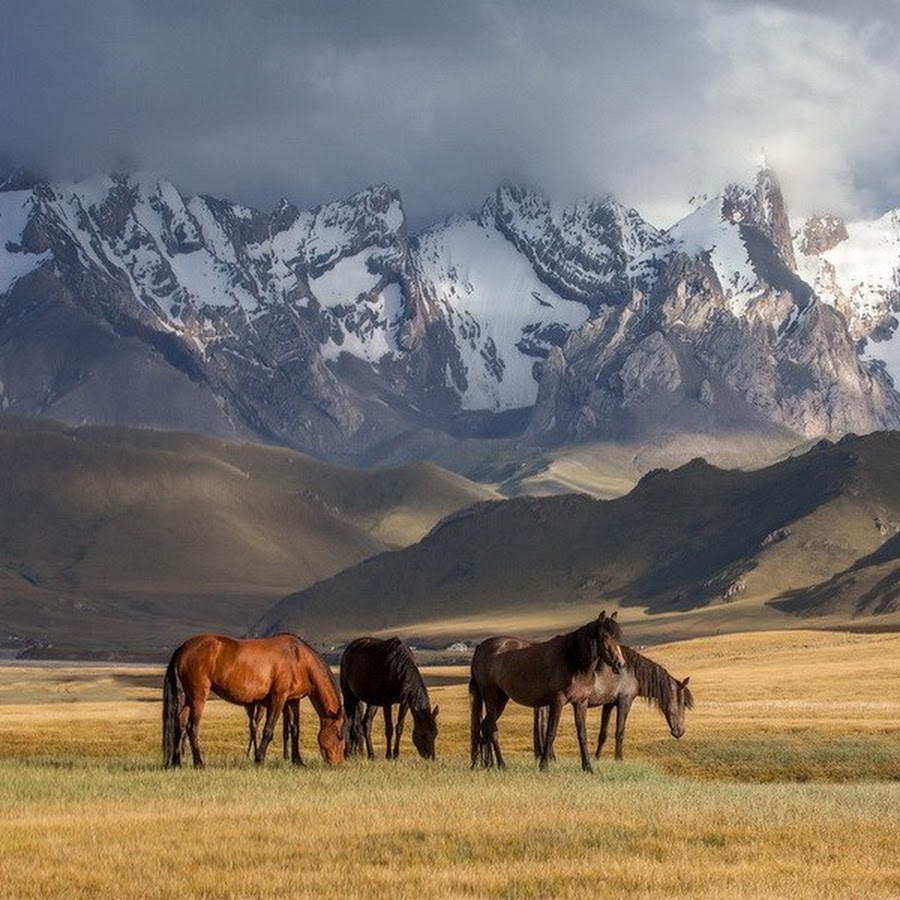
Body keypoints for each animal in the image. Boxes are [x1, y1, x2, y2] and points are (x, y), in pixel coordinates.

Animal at [162, 632, 344, 768]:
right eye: (339, 735)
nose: (338, 763)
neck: (299, 659)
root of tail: (182, 648)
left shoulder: (293, 701)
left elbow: (295, 730)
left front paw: (297, 761)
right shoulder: (278, 697)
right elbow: (268, 730)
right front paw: (259, 758)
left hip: (189, 698)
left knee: (180, 724)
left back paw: (176, 762)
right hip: (198, 697)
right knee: (192, 727)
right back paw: (199, 763)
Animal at [338, 632, 440, 760]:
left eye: (435, 733)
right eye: (423, 734)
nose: (431, 756)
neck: (397, 668)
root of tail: (348, 650)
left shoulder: (404, 703)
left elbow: (399, 727)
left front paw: (396, 755)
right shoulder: (387, 703)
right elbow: (389, 728)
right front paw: (388, 755)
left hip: (371, 702)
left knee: (366, 723)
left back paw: (371, 755)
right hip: (349, 696)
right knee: (349, 722)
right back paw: (348, 753)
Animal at [472, 612, 624, 772]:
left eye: (618, 637)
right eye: (605, 636)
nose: (620, 664)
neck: (572, 660)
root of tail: (480, 647)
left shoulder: (580, 702)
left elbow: (582, 734)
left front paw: (587, 767)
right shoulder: (557, 701)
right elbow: (550, 732)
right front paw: (544, 764)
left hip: (501, 698)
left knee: (485, 726)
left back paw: (487, 764)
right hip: (490, 695)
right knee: (491, 728)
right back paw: (501, 764)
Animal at [536, 644, 696, 764]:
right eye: (683, 703)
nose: (680, 732)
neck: (631, 672)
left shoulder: (608, 704)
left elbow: (603, 734)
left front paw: (597, 758)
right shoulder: (624, 702)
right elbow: (619, 732)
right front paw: (619, 759)